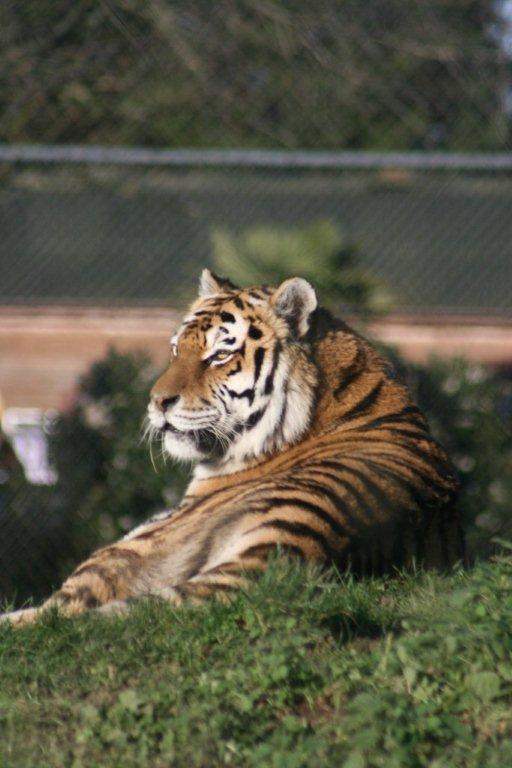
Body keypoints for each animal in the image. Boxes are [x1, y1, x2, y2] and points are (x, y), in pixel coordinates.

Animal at [1, 269, 463, 627]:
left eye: (219, 355)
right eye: (177, 349)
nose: (157, 401)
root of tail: (299, 553)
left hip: (131, 549)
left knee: (60, 611)